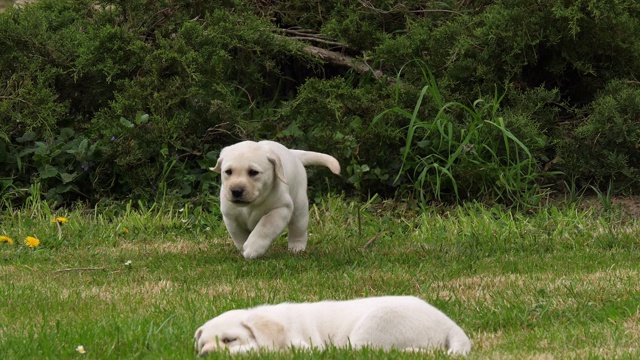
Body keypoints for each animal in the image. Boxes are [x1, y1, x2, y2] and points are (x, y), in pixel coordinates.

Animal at [210, 140, 340, 258]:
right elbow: (239, 236)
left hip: (299, 207)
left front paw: (253, 248)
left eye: (253, 172)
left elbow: (265, 225)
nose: (236, 191)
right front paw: (244, 249)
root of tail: (292, 153)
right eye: (228, 172)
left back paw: (296, 248)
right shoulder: (231, 217)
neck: (251, 205)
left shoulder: (281, 208)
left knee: (298, 230)